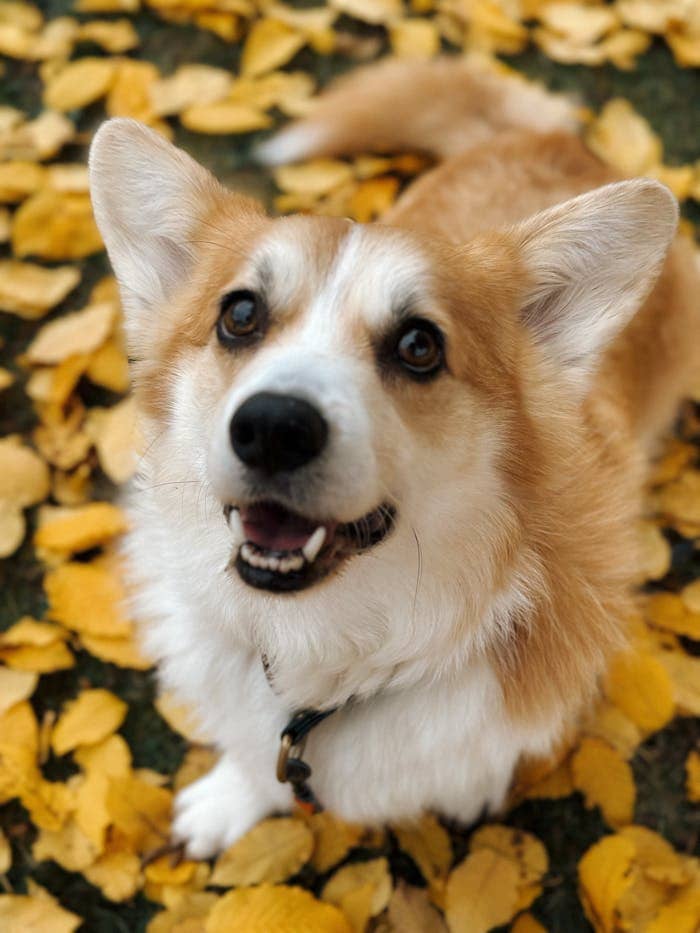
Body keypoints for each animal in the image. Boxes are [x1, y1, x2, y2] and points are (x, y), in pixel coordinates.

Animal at [89, 60, 700, 860]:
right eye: (239, 315)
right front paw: (229, 799)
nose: (273, 427)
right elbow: (253, 755)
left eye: (419, 346)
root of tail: (558, 141)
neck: (330, 646)